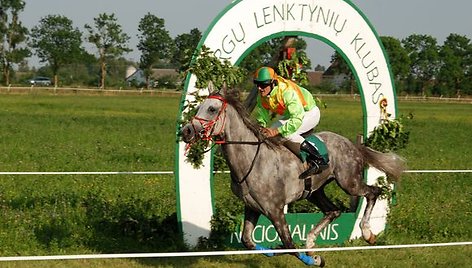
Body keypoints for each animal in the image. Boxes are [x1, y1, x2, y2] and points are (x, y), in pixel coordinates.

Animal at [179, 90, 404, 266]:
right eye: (200, 106)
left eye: (212, 109)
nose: (186, 131)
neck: (251, 159)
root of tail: (352, 144)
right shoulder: (252, 207)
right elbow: (247, 240)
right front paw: (279, 252)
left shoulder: (275, 209)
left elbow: (289, 245)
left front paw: (314, 260)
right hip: (315, 191)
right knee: (333, 211)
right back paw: (311, 244)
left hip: (349, 183)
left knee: (373, 192)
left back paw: (366, 233)